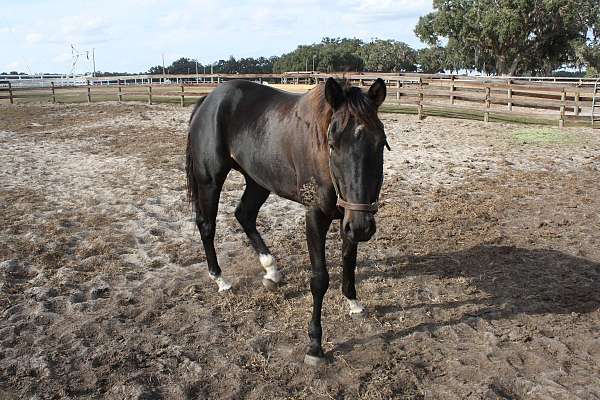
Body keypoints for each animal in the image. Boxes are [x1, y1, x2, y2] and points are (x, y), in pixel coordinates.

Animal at [185, 76, 386, 366]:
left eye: (380, 143)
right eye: (333, 144)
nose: (362, 226)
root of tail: (209, 99)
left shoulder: (350, 217)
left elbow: (349, 263)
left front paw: (354, 304)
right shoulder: (316, 216)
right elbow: (319, 280)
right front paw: (315, 345)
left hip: (258, 179)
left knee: (244, 215)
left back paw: (271, 270)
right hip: (210, 181)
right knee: (207, 225)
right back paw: (221, 280)